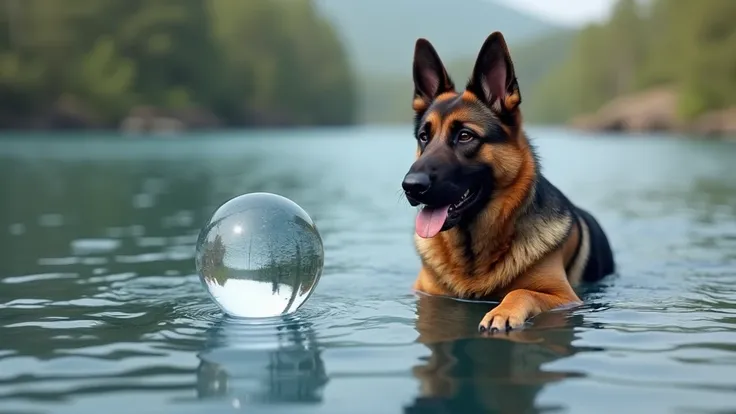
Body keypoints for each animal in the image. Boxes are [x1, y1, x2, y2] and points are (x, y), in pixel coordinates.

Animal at [402, 33, 616, 336]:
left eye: (465, 136)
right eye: (424, 137)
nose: (410, 186)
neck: (472, 255)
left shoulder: (565, 297)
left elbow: (521, 291)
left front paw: (501, 313)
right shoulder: (425, 293)